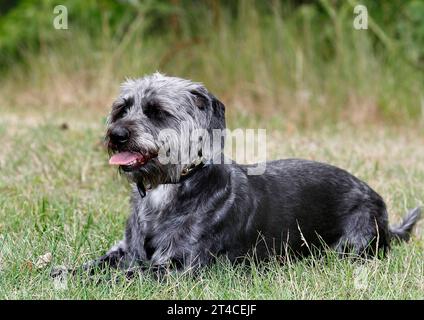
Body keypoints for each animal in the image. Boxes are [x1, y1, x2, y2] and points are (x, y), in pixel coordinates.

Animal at [53, 72, 420, 276]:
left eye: (157, 112)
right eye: (122, 108)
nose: (116, 135)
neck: (168, 187)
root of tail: (379, 204)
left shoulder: (179, 266)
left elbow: (124, 276)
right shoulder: (125, 252)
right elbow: (92, 266)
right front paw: (60, 271)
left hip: (350, 248)